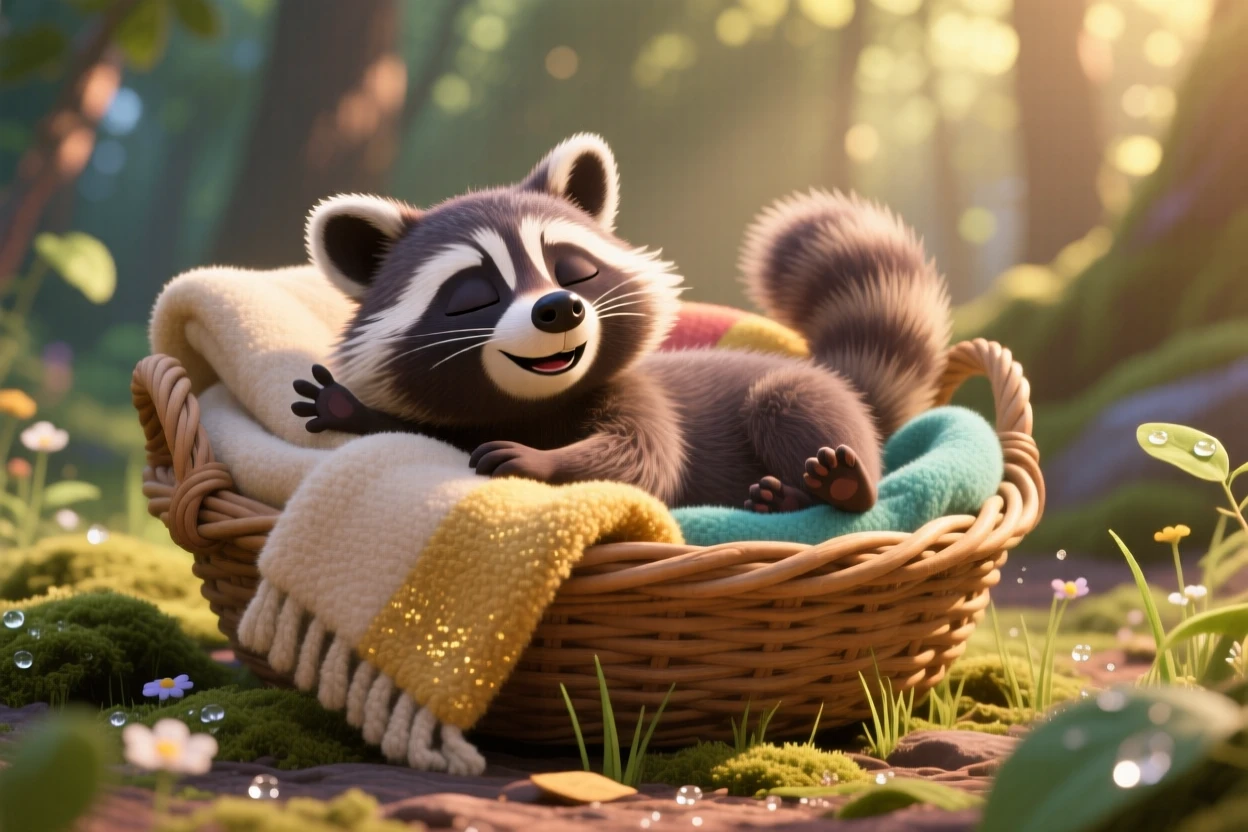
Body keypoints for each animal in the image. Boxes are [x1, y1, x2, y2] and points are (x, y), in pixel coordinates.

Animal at [292, 134, 951, 513]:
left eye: (573, 270)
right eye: (472, 297)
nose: (558, 309)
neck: (538, 403)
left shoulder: (638, 394)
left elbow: (642, 460)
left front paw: (541, 463)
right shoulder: (472, 411)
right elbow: (425, 433)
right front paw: (353, 409)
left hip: (812, 401)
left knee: (790, 405)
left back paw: (837, 488)